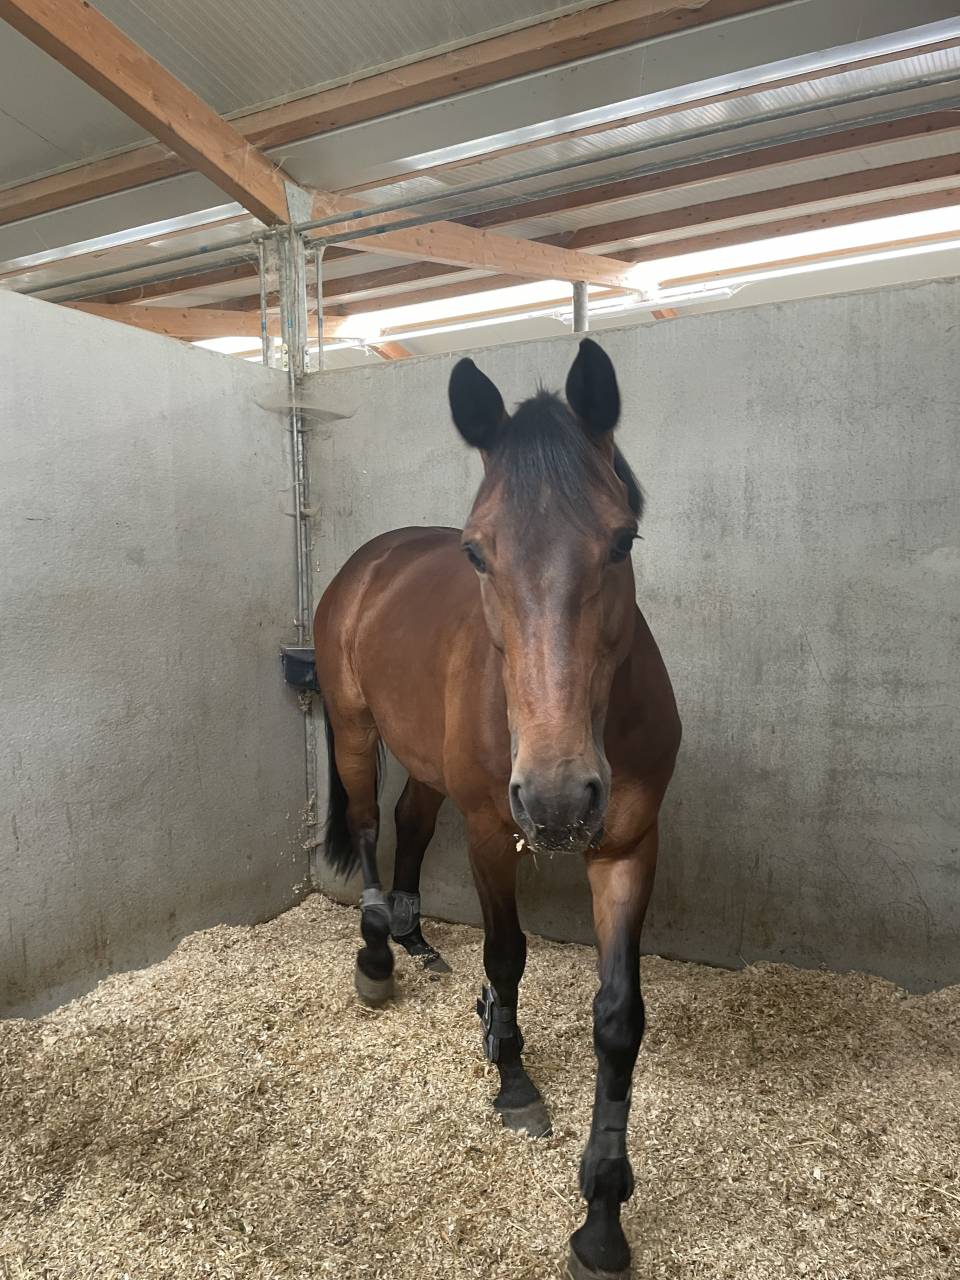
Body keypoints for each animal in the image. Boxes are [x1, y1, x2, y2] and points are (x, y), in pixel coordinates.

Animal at [313, 337, 681, 1279]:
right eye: (479, 554)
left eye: (621, 539)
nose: (556, 796)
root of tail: (371, 561)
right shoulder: (489, 833)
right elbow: (508, 955)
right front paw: (512, 1079)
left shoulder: (627, 846)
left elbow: (618, 1019)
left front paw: (602, 1213)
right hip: (358, 732)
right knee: (370, 827)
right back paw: (378, 957)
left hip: (429, 762)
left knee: (410, 823)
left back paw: (414, 940)